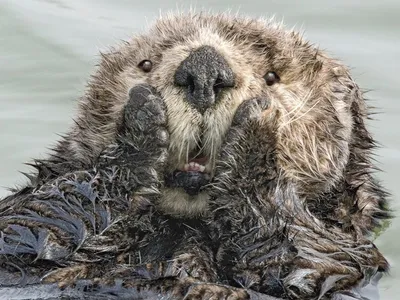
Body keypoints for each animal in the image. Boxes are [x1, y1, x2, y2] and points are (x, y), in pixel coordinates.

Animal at [0, 12, 390, 300]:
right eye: (145, 64)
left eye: (272, 76)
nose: (203, 70)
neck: (183, 226)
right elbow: (25, 223)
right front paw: (140, 121)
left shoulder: (348, 257)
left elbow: (305, 259)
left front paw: (258, 126)